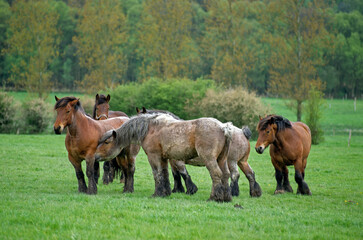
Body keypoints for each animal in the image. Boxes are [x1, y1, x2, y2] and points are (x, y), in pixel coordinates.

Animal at [96, 114, 233, 202]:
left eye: (106, 142)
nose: (96, 155)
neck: (149, 128)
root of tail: (223, 127)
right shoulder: (164, 159)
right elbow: (165, 174)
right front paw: (165, 193)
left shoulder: (153, 156)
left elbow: (157, 174)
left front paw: (157, 193)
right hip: (221, 159)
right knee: (225, 175)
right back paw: (226, 198)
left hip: (209, 159)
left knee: (216, 174)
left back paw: (214, 197)